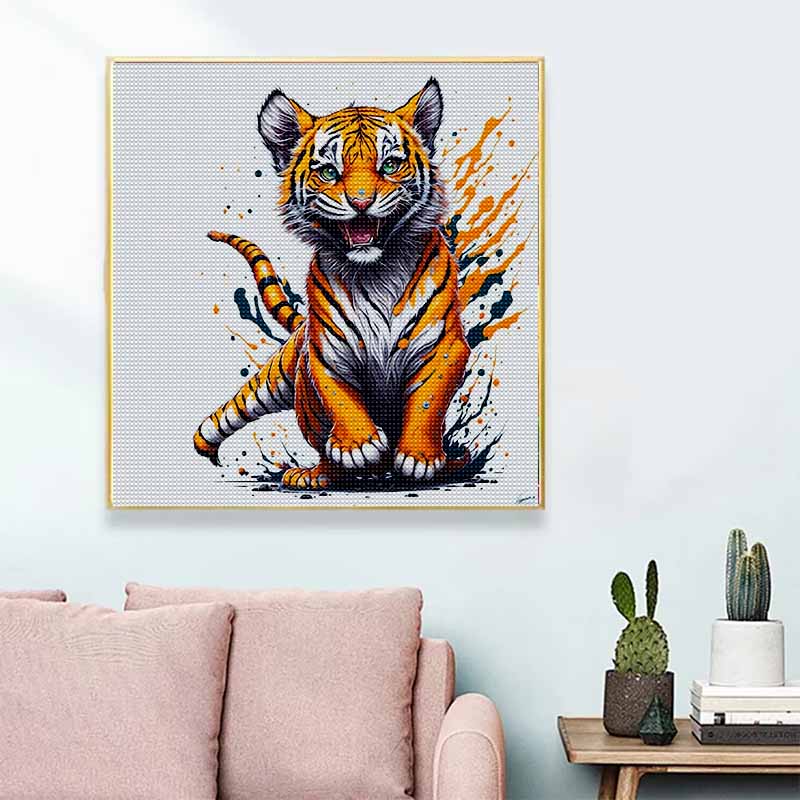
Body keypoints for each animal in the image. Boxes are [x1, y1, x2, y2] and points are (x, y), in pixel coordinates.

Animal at [194, 79, 470, 490]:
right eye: (328, 172)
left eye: (390, 165)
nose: (361, 203)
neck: (376, 272)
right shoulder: (325, 351)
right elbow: (339, 396)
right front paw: (360, 446)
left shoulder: (446, 346)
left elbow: (428, 399)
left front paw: (419, 458)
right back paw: (319, 473)